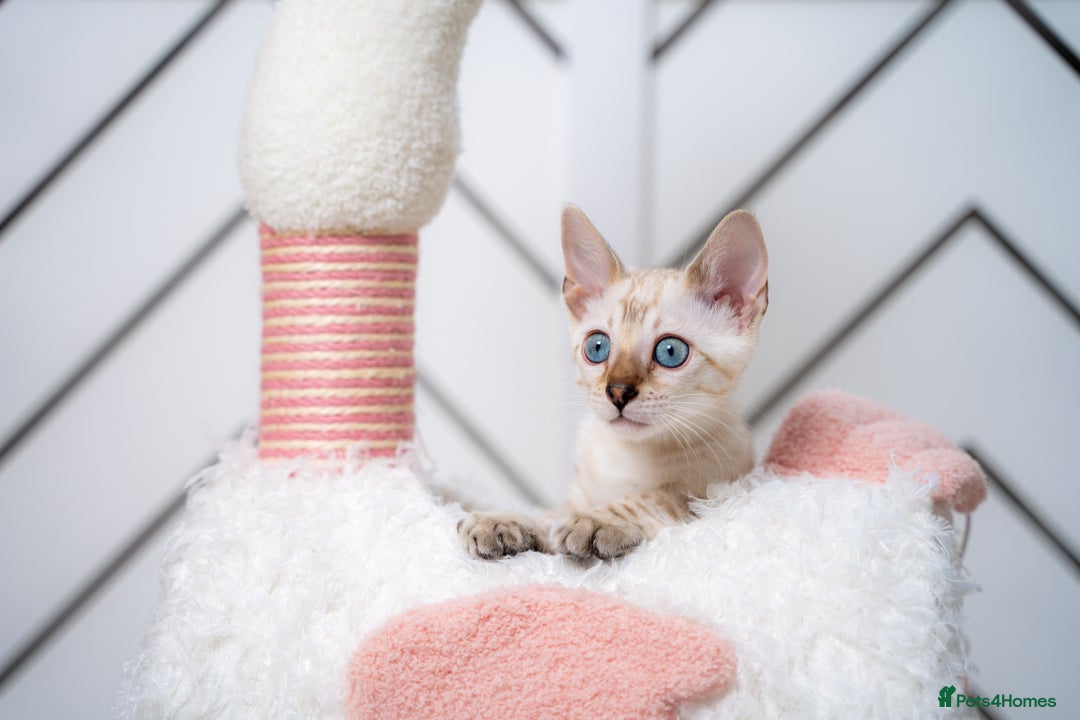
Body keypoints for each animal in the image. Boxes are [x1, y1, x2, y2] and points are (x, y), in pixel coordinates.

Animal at [459, 205, 769, 561]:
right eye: (598, 347)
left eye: (671, 352)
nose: (618, 392)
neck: (628, 455)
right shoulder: (573, 499)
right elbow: (550, 517)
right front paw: (501, 521)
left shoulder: (708, 495)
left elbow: (655, 499)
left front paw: (596, 520)